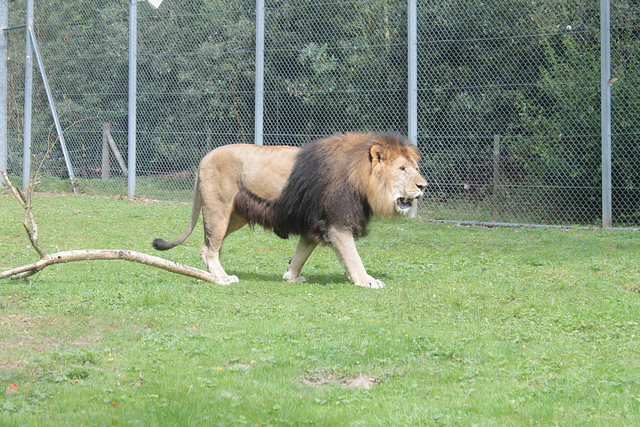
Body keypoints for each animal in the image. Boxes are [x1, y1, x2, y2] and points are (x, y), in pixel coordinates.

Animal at [152, 131, 427, 288]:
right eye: (402, 169)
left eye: (415, 167)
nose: (424, 186)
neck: (360, 176)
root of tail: (204, 157)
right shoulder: (337, 222)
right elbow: (352, 257)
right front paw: (366, 281)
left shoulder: (314, 222)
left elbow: (300, 254)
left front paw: (290, 277)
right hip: (218, 208)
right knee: (210, 248)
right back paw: (222, 278)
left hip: (233, 216)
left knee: (207, 245)